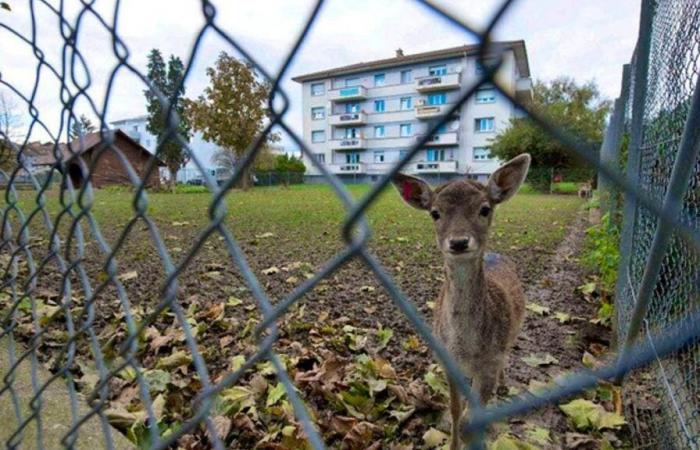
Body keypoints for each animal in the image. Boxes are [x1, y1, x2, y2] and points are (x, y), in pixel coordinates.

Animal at [388, 153, 532, 448]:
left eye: (485, 209)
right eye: (435, 213)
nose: (458, 242)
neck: (466, 348)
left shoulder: (489, 363)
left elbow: (472, 416)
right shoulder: (447, 361)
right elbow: (456, 411)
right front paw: (452, 443)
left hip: (512, 333)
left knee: (507, 355)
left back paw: (503, 383)